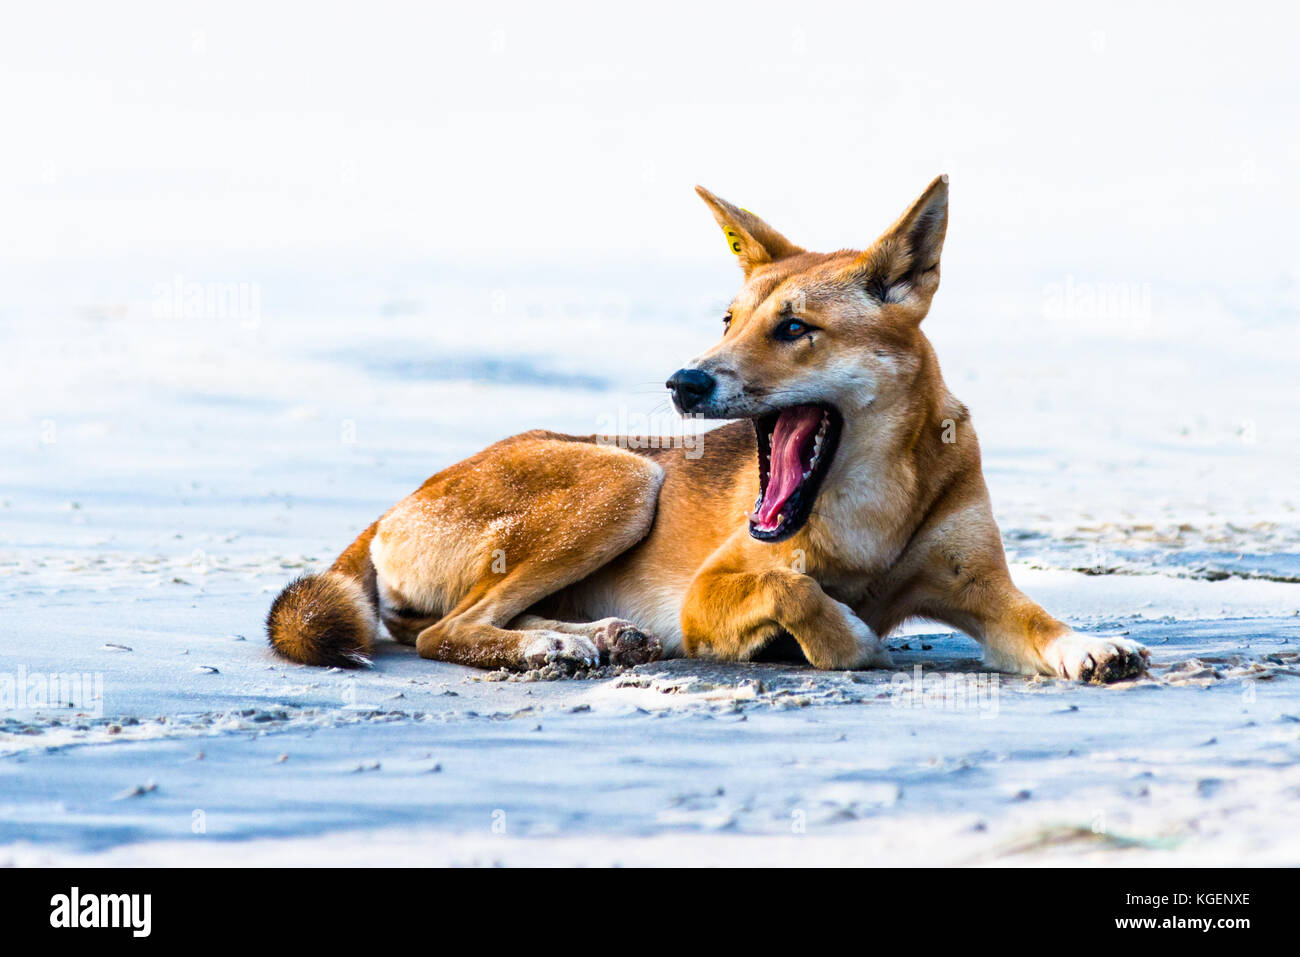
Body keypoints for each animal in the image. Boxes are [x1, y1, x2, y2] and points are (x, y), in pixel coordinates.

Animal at [263, 179, 1149, 686]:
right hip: (624, 480)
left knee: (445, 624)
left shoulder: (982, 589)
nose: (684, 382)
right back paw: (550, 648)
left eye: (793, 328)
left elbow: (1037, 622)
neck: (874, 504)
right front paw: (837, 635)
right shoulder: (710, 589)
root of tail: (396, 505)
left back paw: (594, 637)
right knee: (445, 631)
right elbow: (801, 592)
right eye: (728, 320)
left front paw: (1088, 645)